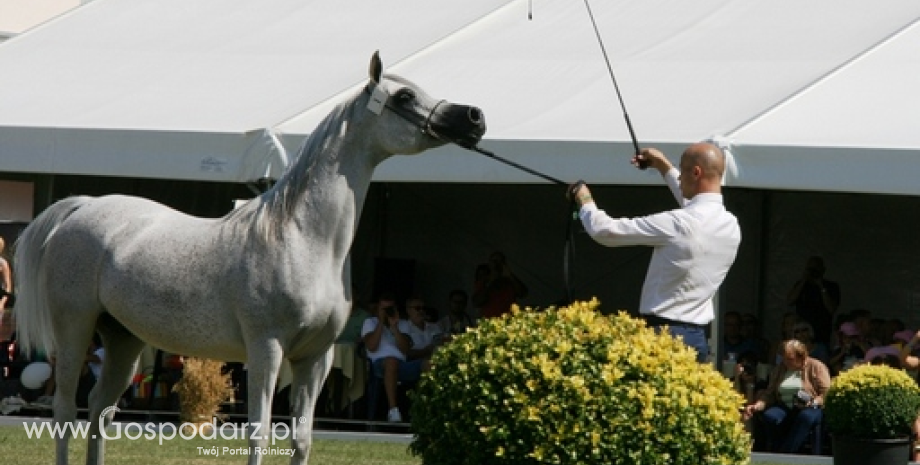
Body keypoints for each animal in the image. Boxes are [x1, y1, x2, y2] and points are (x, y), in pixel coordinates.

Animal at [14, 51, 486, 464]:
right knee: (65, 411)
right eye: (404, 97)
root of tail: (83, 206)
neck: (300, 237)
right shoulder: (266, 351)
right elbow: (259, 434)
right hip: (75, 329)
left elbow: (301, 439)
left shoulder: (315, 360)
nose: (473, 117)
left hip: (123, 337)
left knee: (99, 409)